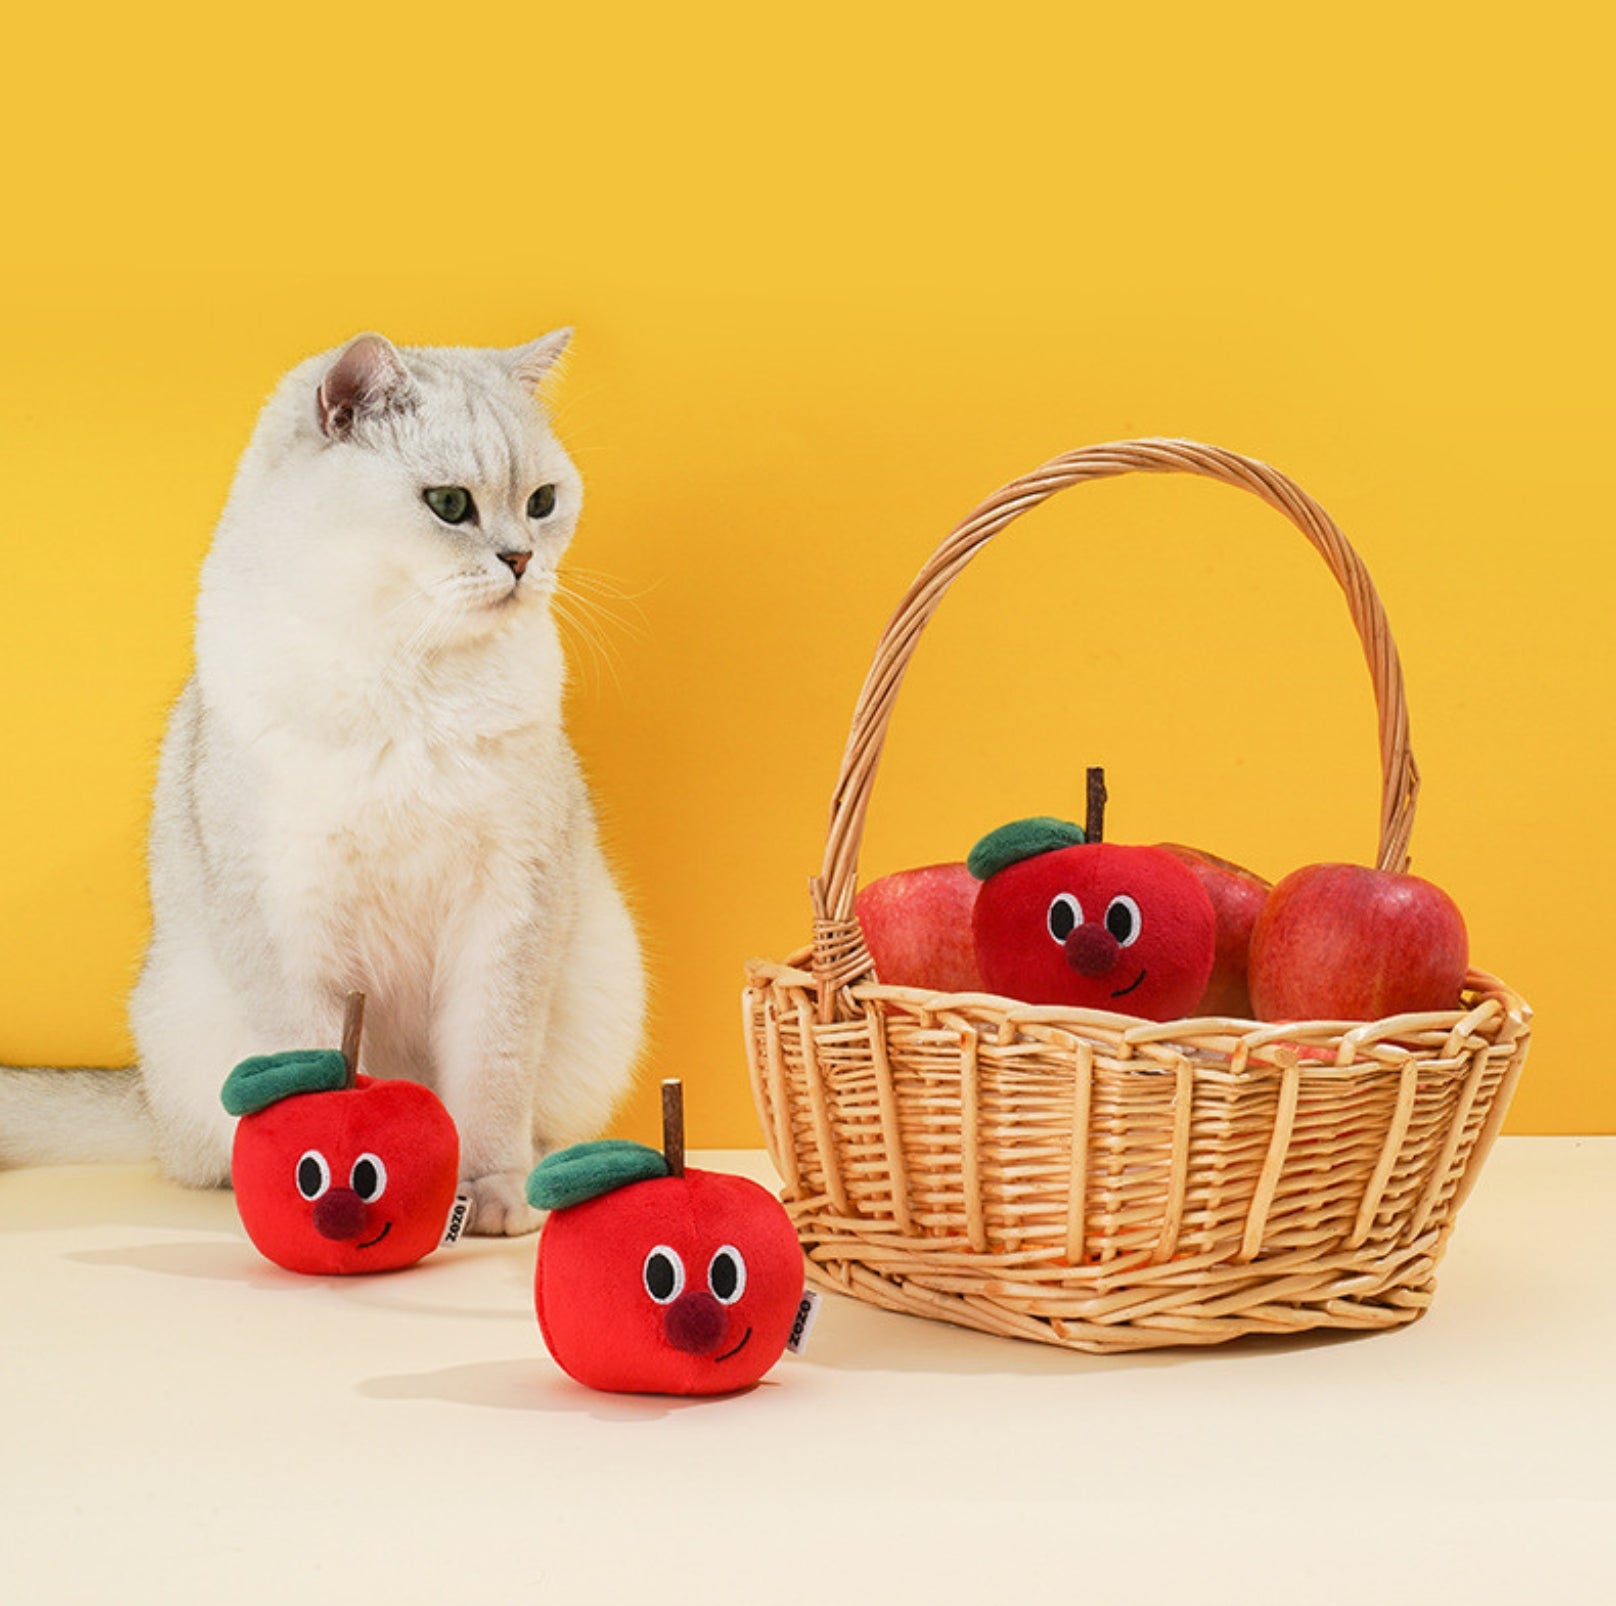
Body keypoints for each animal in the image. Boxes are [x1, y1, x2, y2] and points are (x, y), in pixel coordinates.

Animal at [0, 323, 643, 1227]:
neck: (409, 669)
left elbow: (490, 1076)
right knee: (206, 1155)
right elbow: (306, 1075)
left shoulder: (508, 908)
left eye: (543, 502)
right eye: (450, 505)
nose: (521, 559)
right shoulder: (284, 914)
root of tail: (146, 1105)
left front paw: (489, 1198)